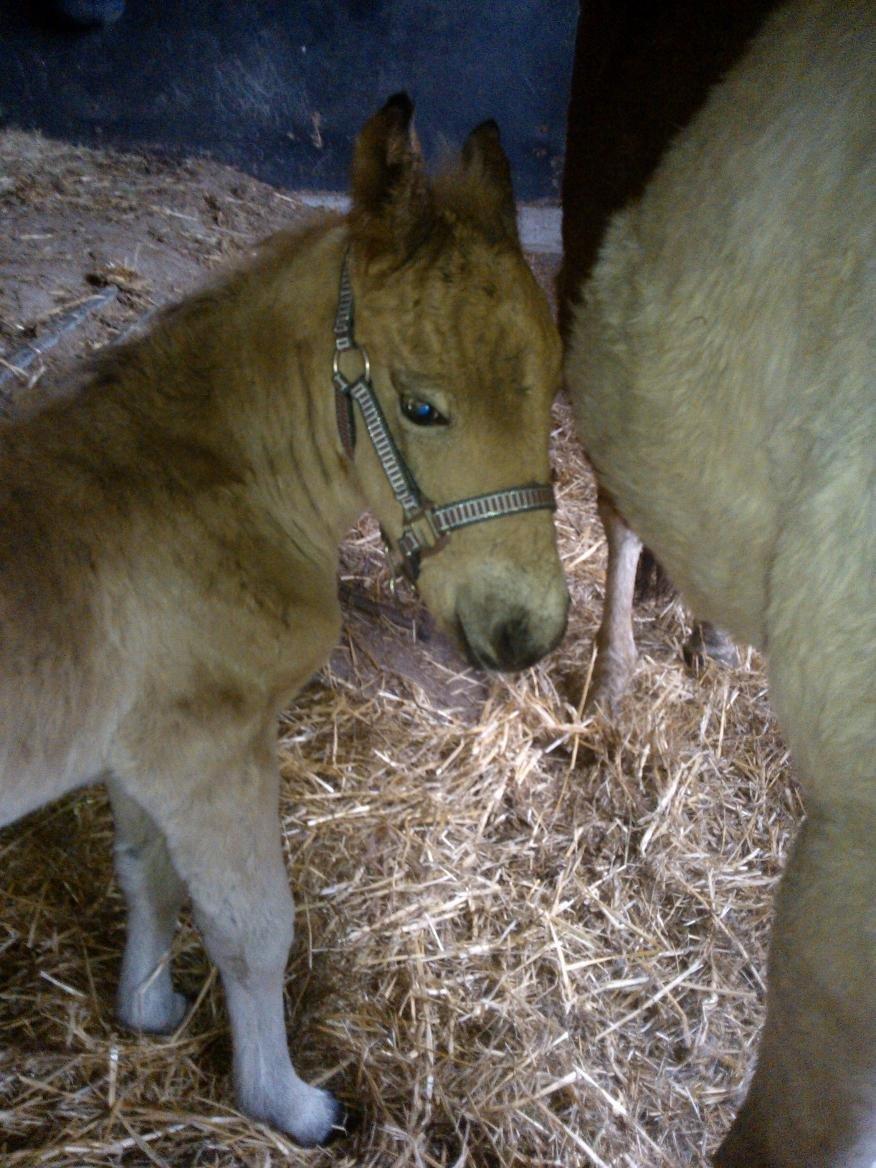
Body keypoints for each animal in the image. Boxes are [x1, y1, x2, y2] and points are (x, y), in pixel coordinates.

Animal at [0, 95, 569, 1144]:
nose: (527, 632)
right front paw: (289, 1103)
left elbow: (148, 872)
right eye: (421, 407)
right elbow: (254, 929)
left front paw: (148, 1007)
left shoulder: (145, 755)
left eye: (553, 383)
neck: (216, 481)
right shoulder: (208, 751)